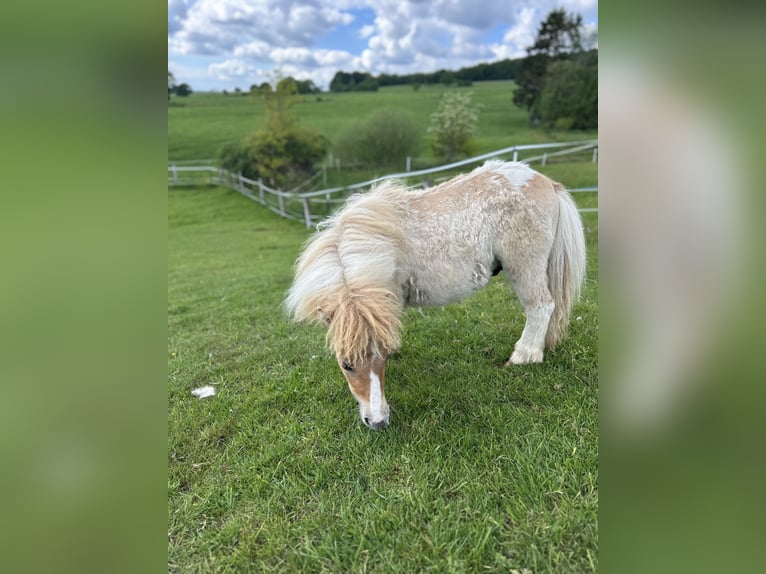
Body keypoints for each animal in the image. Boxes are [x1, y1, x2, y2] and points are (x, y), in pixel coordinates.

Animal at [285, 160, 586, 430]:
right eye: (346, 364)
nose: (378, 422)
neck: (375, 245)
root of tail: (546, 182)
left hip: (524, 267)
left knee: (541, 306)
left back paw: (524, 356)